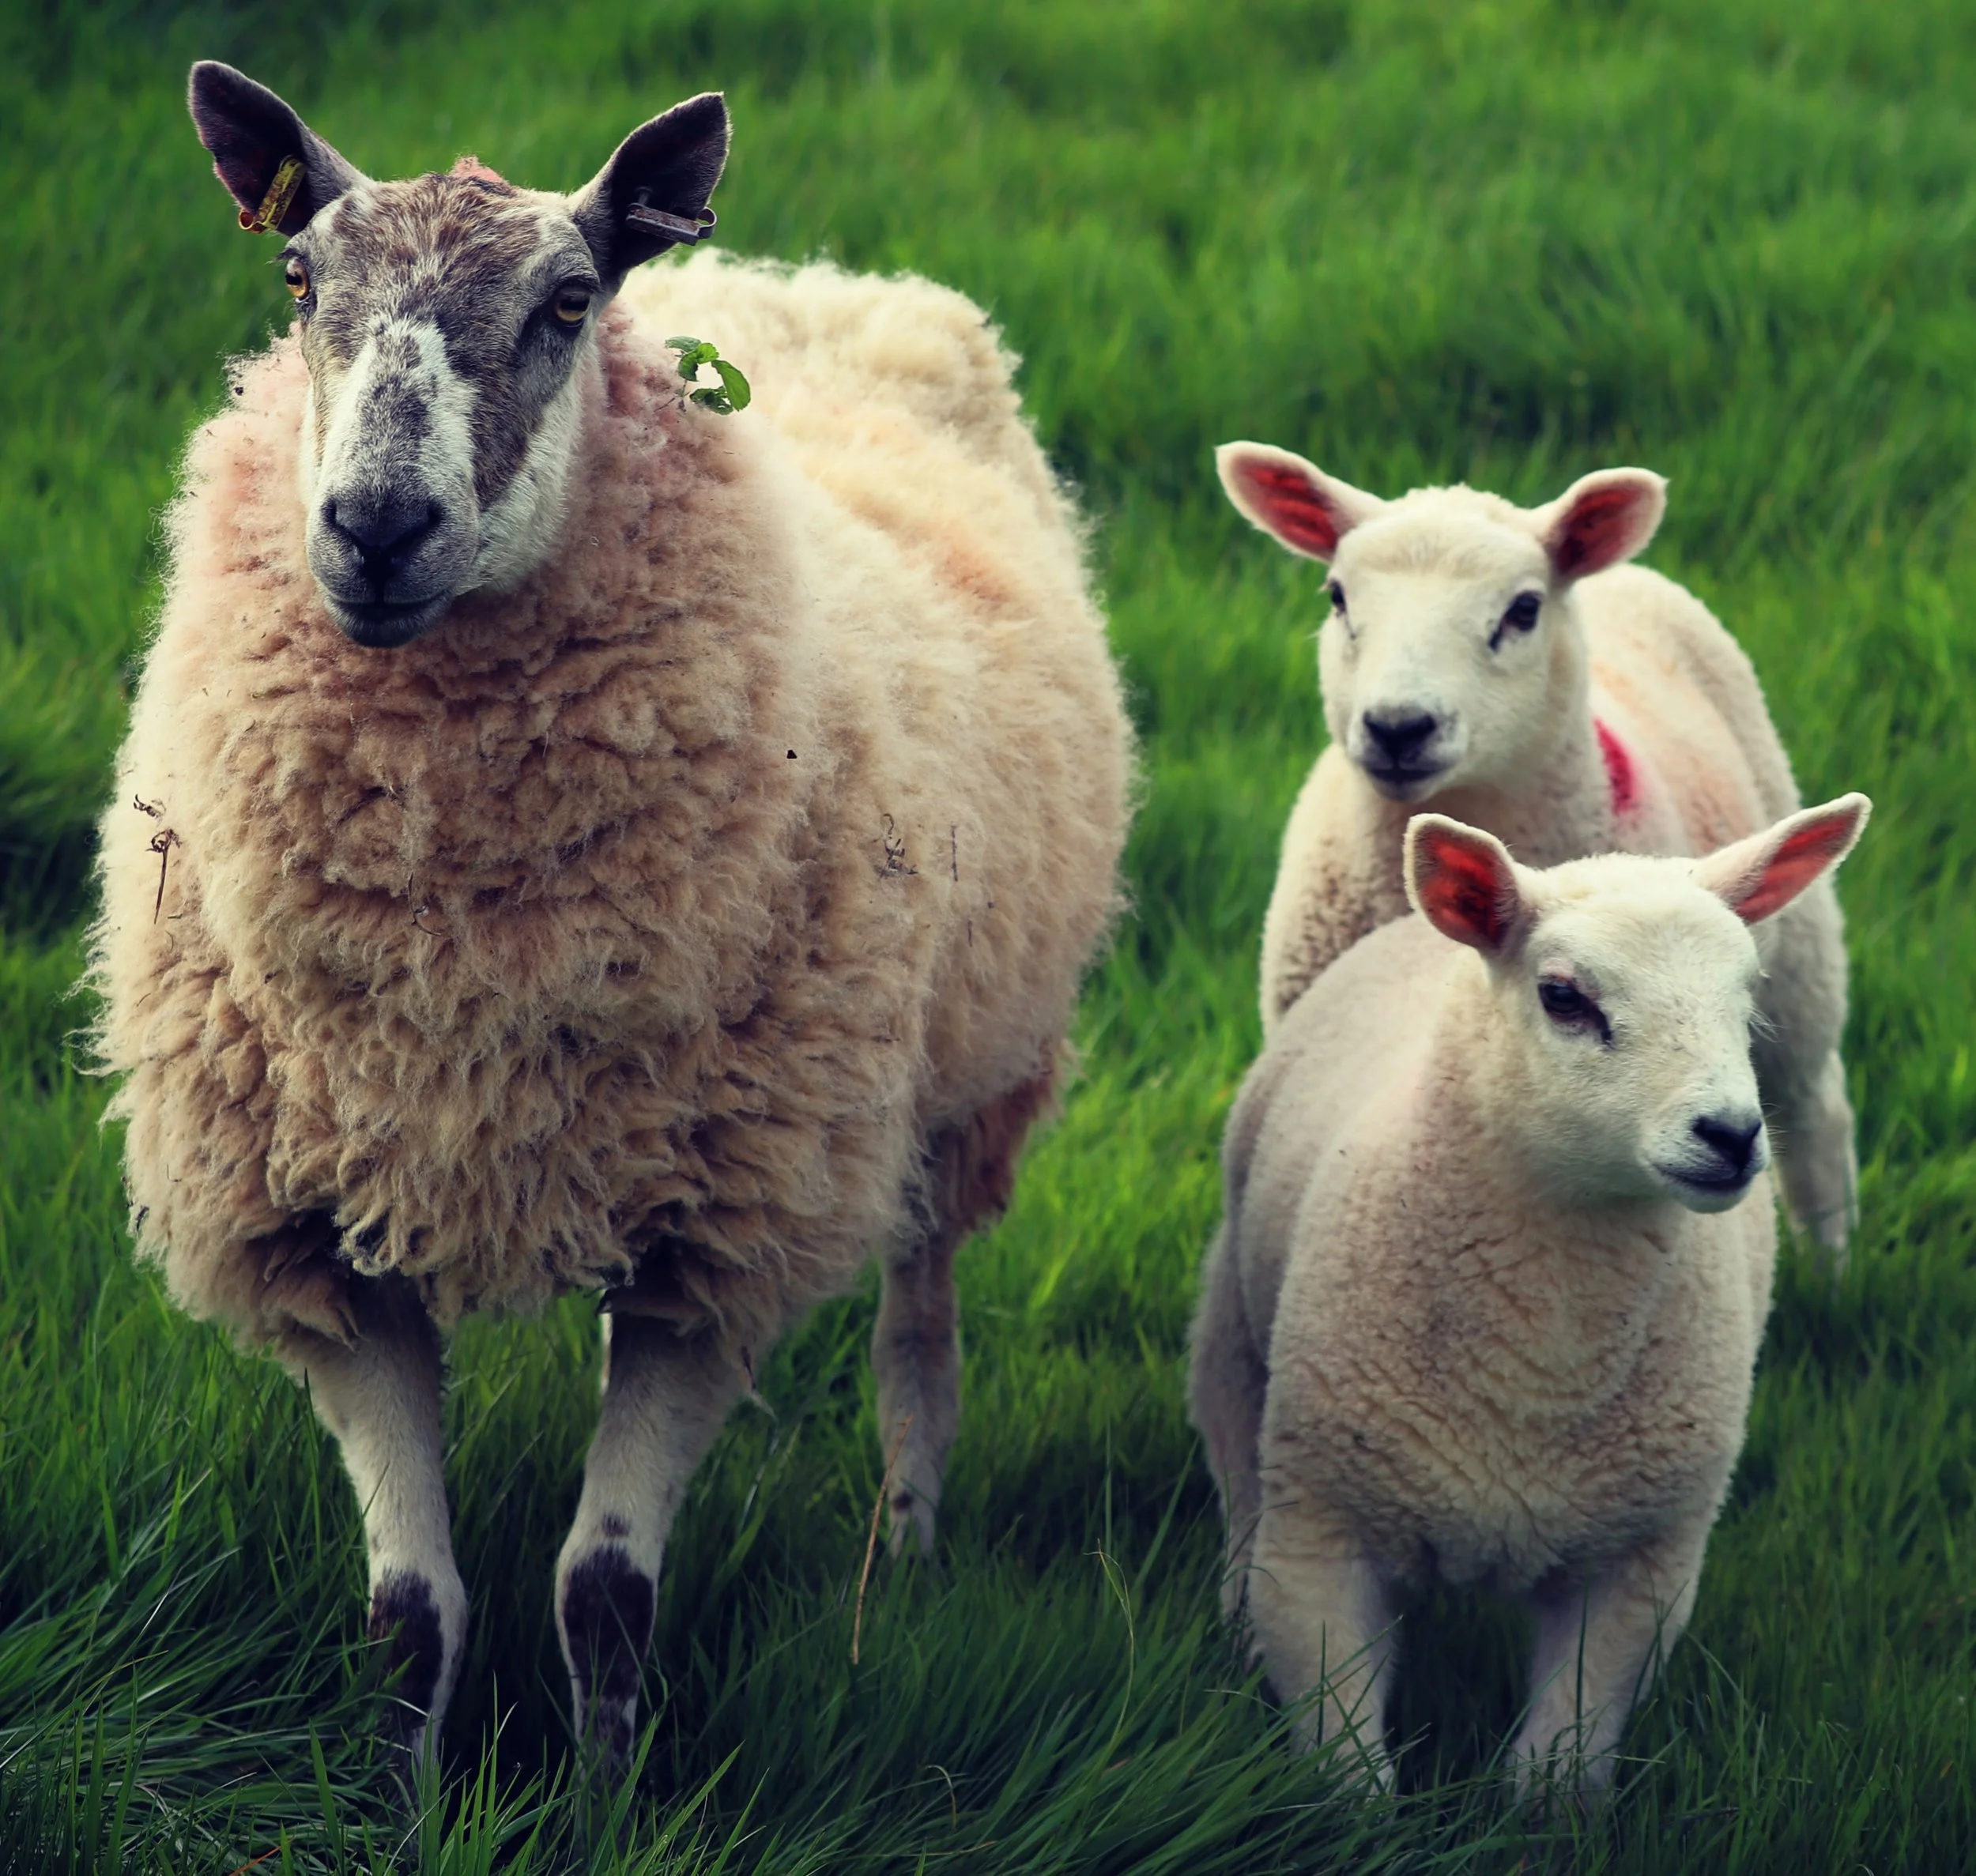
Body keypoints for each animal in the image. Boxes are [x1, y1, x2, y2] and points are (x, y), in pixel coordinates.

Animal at [90, 62, 1132, 1768]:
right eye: (298, 281)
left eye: (566, 302)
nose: (374, 526)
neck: (461, 960)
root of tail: (803, 277)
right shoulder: (322, 1241)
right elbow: (411, 1613)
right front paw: (407, 1798)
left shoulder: (715, 1243)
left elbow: (602, 1595)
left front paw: (603, 1795)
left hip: (960, 1076)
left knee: (919, 1330)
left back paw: (907, 1554)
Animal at [1187, 793, 1870, 1795]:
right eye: (1564, 997)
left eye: (1746, 997)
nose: (1731, 1134)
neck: (1543, 1353)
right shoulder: (1321, 1533)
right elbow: (1346, 1768)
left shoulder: (1639, 1565)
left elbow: (1560, 1769)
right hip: (1234, 1339)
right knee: (1236, 1469)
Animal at [1215, 444, 1861, 1256]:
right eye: (1337, 596)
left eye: (1522, 611)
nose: (1398, 726)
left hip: (1802, 965)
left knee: (1816, 1114)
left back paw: (1833, 1262)